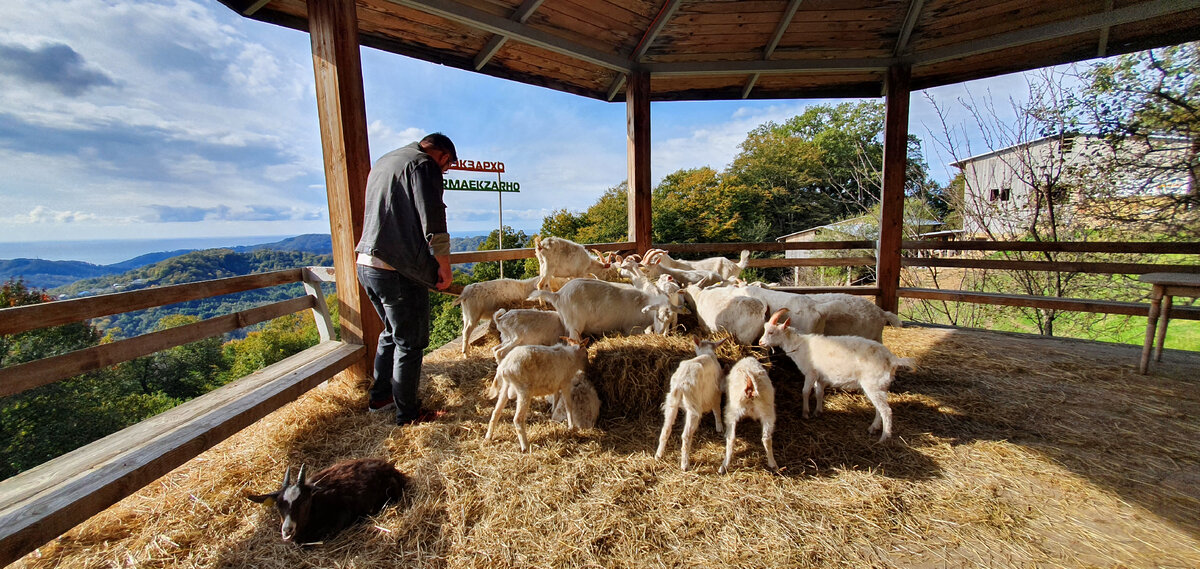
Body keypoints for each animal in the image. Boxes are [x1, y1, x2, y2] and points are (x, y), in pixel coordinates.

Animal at [530, 277, 681, 340]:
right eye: (658, 316)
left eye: (669, 320)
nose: (660, 332)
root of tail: (558, 294)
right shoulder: (630, 328)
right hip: (575, 324)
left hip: (566, 322)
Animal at [657, 338, 729, 470]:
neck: (708, 353)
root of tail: (680, 383)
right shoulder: (715, 392)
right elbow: (717, 409)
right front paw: (719, 427)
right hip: (693, 406)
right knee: (686, 435)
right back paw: (685, 465)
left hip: (671, 402)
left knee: (666, 428)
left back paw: (658, 456)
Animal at [753, 309, 912, 441]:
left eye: (771, 332)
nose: (760, 342)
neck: (800, 345)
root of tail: (892, 359)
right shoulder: (820, 377)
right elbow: (819, 392)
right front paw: (817, 411)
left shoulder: (810, 373)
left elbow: (805, 391)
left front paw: (805, 413)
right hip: (878, 386)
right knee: (880, 408)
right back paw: (873, 428)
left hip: (873, 384)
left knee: (886, 410)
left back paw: (884, 437)